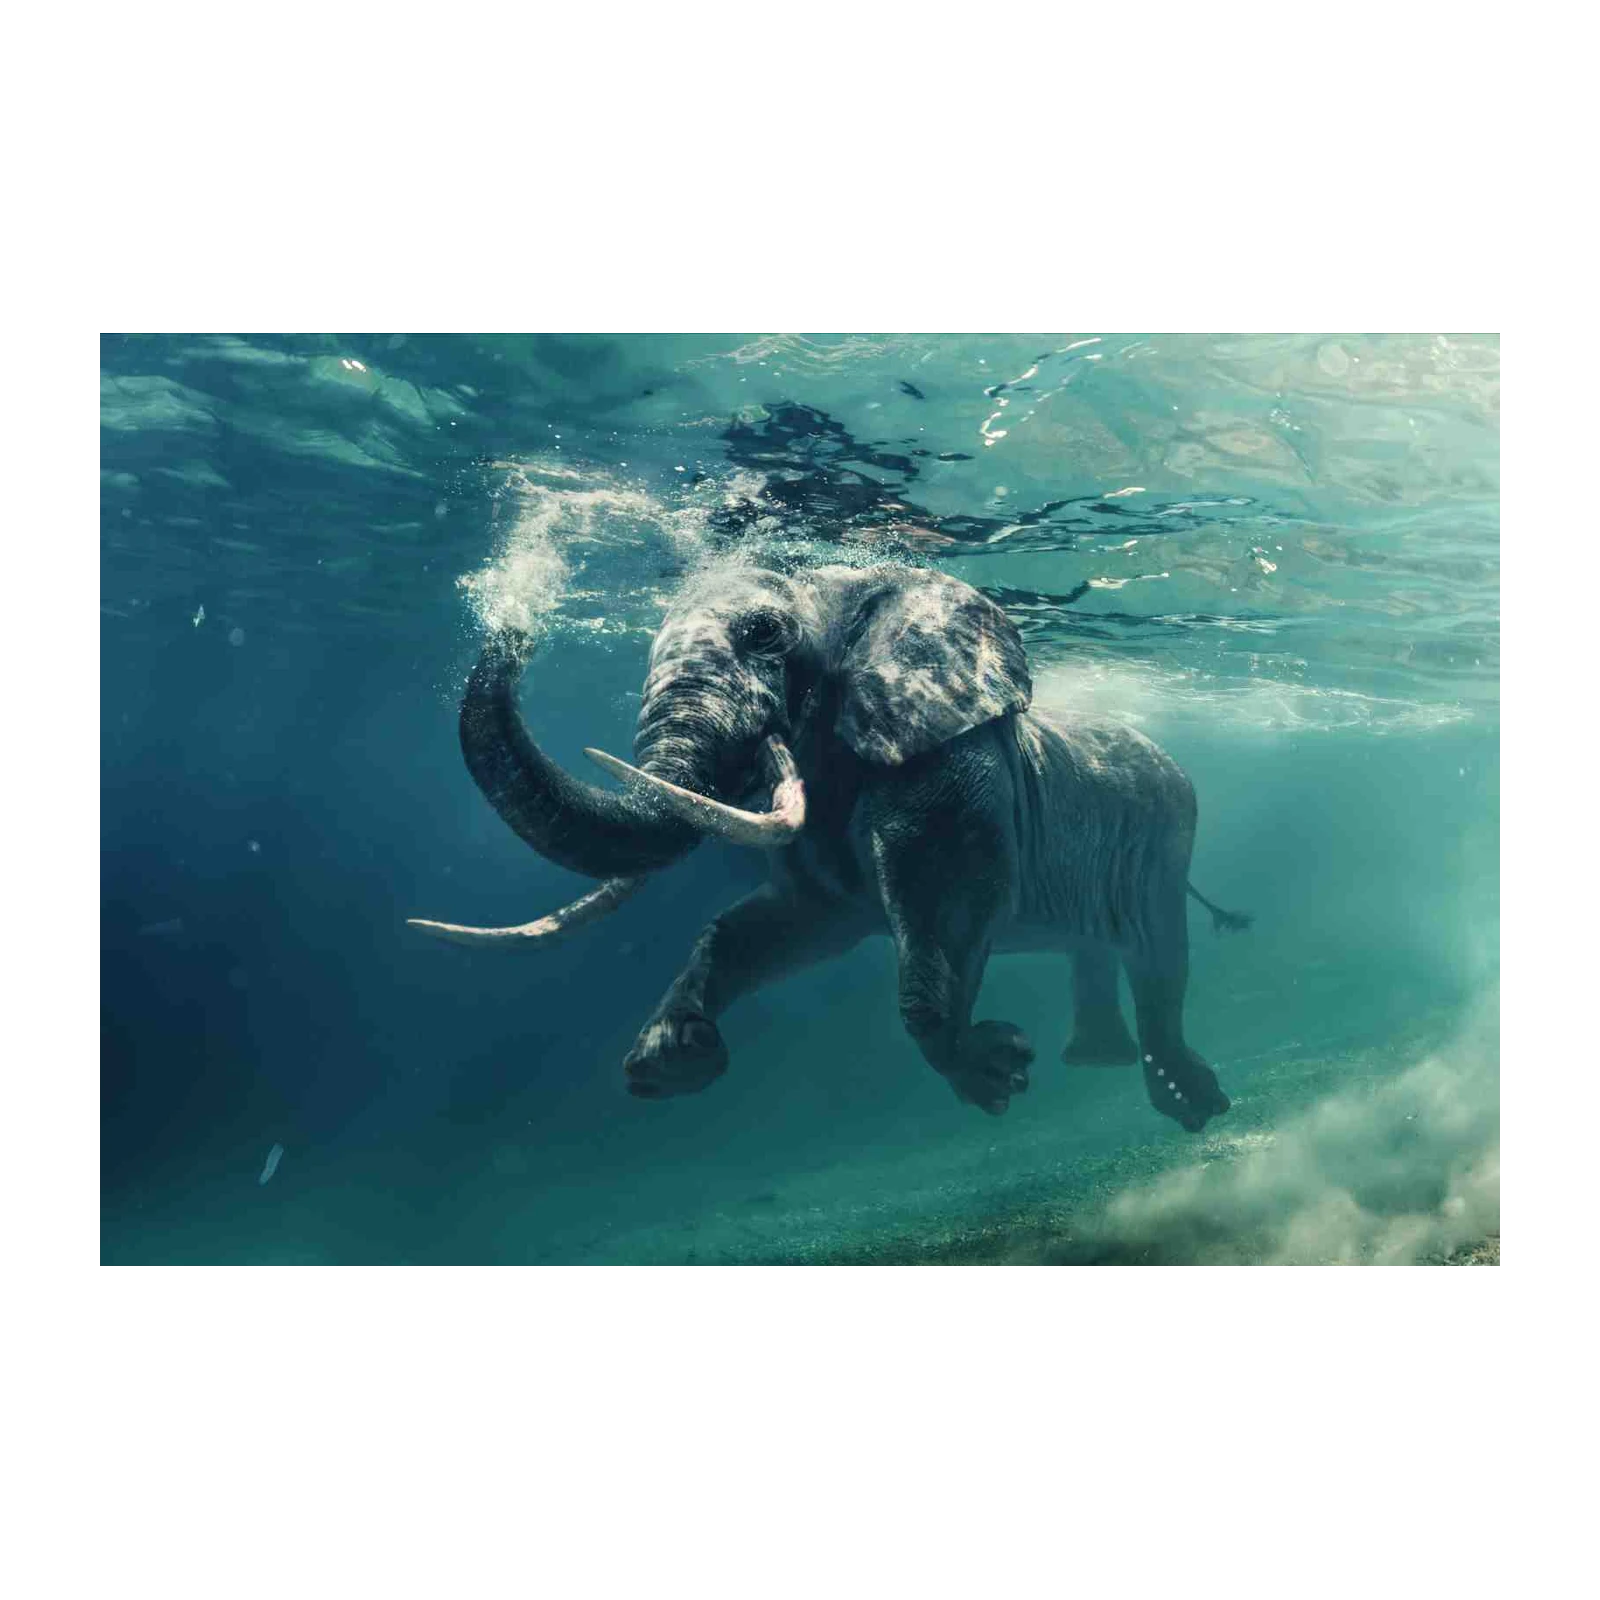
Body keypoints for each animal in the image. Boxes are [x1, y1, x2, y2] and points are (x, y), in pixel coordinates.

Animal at [411, 561, 1250, 1132]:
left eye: (764, 634)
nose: (514, 621)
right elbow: (778, 925)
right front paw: (670, 1062)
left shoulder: (949, 759)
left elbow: (950, 902)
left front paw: (996, 1073)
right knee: (1099, 950)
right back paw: (1100, 1062)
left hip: (1167, 837)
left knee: (1159, 959)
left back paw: (1190, 1104)